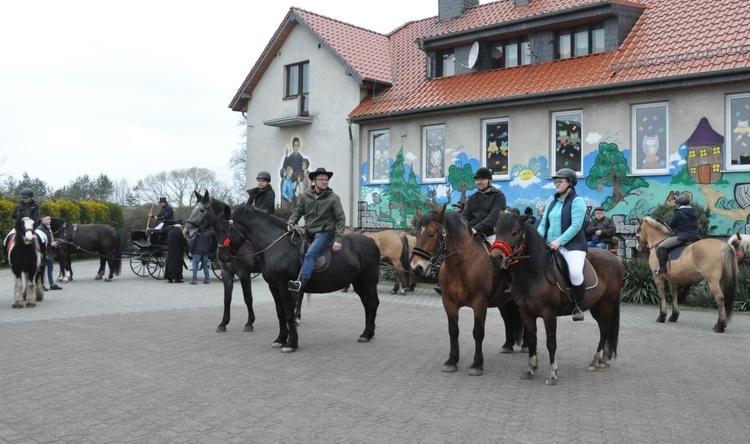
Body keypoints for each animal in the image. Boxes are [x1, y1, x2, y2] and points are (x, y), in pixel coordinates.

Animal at [182, 190, 262, 332]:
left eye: (202, 210)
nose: (186, 231)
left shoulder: (244, 273)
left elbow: (248, 297)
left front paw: (249, 323)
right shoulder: (226, 273)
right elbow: (227, 298)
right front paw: (223, 323)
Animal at [219, 206, 382, 354]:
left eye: (226, 228)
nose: (221, 256)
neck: (276, 245)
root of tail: (372, 241)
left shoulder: (284, 285)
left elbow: (288, 313)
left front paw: (291, 343)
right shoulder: (273, 286)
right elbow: (280, 313)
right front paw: (280, 339)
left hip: (368, 281)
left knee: (373, 303)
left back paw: (366, 334)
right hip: (359, 283)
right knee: (367, 304)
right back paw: (369, 333)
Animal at [412, 206, 524, 376]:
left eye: (431, 235)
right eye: (416, 234)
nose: (416, 267)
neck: (461, 265)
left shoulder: (479, 304)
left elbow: (478, 332)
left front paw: (477, 364)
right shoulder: (449, 303)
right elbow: (453, 331)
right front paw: (452, 361)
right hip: (503, 302)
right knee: (507, 319)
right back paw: (508, 345)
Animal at [490, 212, 624, 386]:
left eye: (514, 232)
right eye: (496, 231)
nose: (496, 258)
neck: (533, 274)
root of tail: (614, 258)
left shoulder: (549, 314)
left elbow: (551, 343)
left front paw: (552, 373)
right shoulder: (526, 313)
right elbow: (532, 340)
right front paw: (530, 369)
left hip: (605, 305)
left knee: (604, 330)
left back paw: (596, 361)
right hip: (597, 307)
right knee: (606, 330)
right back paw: (604, 359)